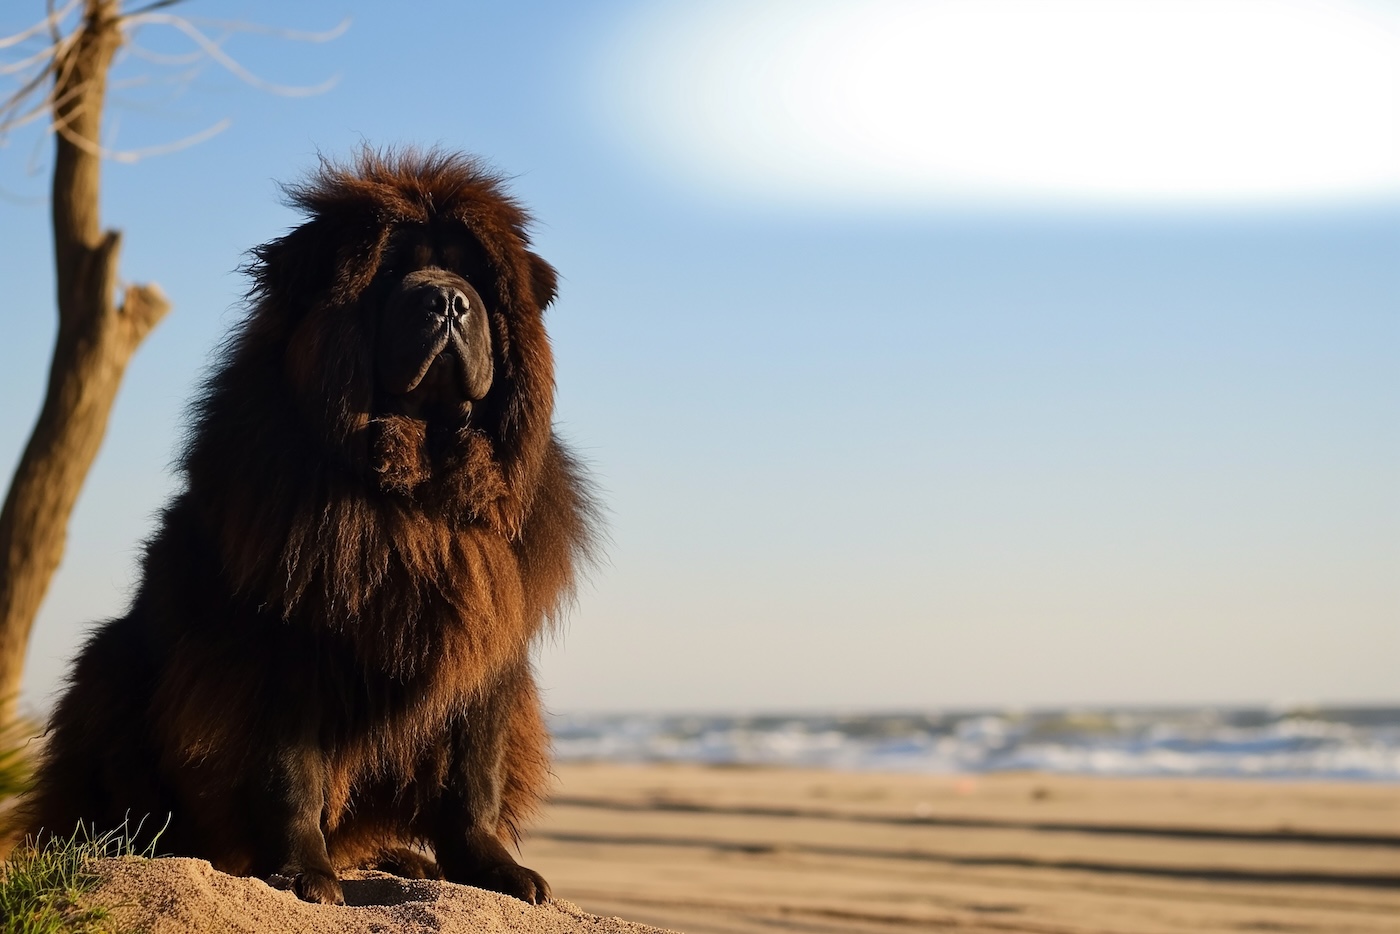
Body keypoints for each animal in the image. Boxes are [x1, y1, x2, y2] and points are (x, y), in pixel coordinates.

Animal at [19, 151, 596, 907]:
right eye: (392, 271)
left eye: (470, 274)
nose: (446, 301)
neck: (415, 486)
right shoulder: (283, 648)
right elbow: (290, 773)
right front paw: (302, 875)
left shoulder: (487, 645)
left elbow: (474, 777)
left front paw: (494, 870)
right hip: (111, 669)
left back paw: (405, 860)